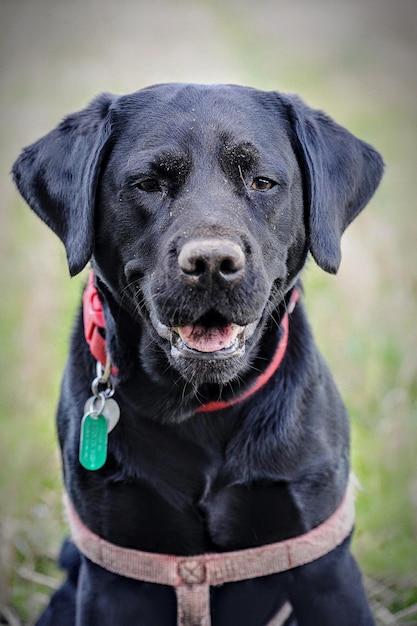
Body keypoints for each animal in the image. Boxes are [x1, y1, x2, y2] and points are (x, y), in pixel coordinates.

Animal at [12, 84, 384, 624]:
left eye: (262, 182)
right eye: (148, 184)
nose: (212, 263)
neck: (199, 405)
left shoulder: (322, 561)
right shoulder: (114, 575)